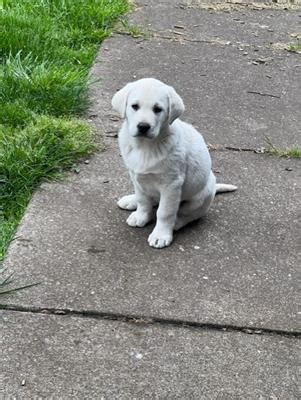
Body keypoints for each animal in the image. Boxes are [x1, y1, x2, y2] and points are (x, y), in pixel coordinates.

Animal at [111, 77, 236, 248]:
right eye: (134, 106)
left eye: (158, 109)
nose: (143, 126)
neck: (145, 146)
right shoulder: (136, 176)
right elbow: (143, 200)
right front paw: (141, 216)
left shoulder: (171, 184)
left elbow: (165, 212)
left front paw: (161, 234)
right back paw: (131, 200)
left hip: (201, 197)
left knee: (188, 214)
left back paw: (176, 223)